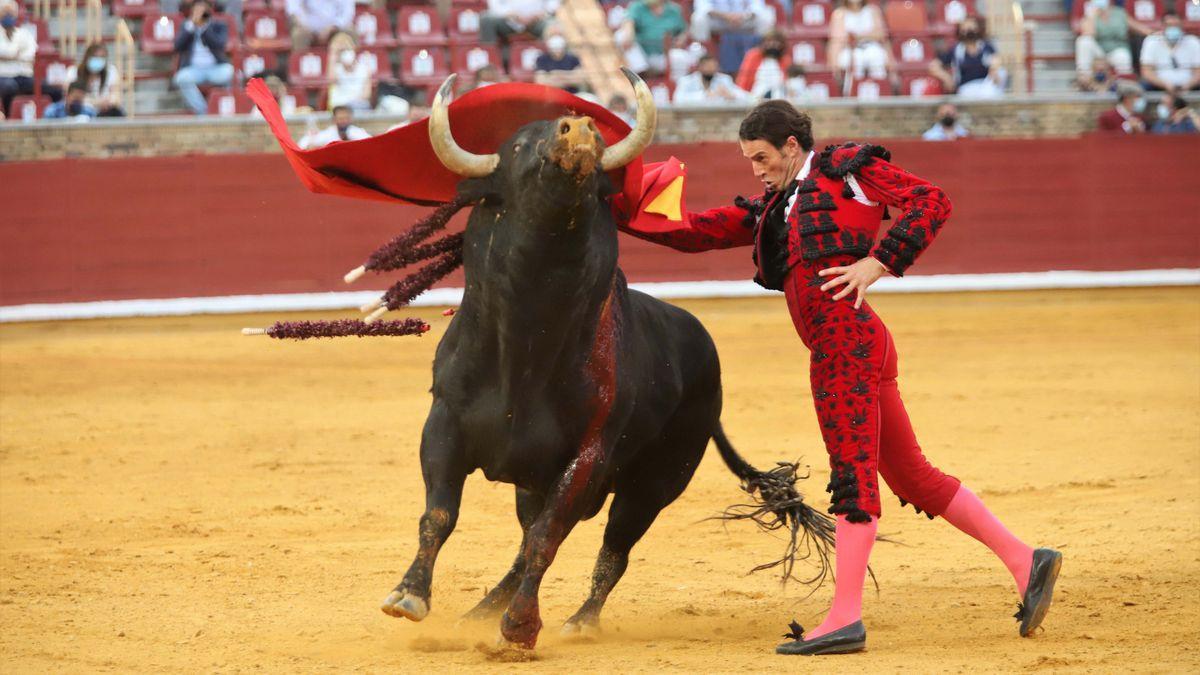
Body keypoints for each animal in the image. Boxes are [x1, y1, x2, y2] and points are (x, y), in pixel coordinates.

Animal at [379, 68, 830, 648]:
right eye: (518, 145)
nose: (578, 131)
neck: (528, 339)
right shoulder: (444, 425)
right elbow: (440, 513)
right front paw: (409, 596)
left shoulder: (588, 455)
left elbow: (548, 536)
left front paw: (521, 629)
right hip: (540, 483)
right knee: (527, 542)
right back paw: (480, 612)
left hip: (655, 484)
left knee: (611, 548)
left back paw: (578, 622)